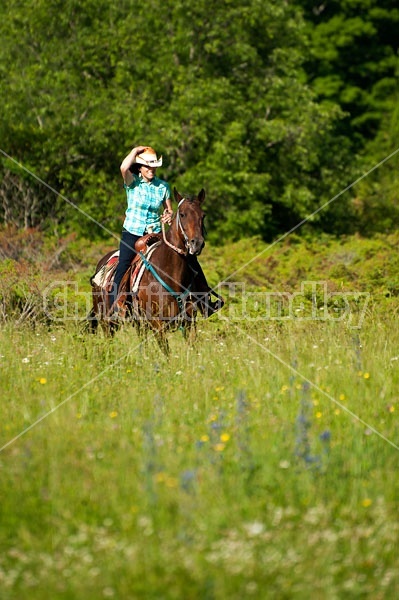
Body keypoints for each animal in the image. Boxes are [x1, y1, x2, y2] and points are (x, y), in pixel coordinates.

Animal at [89, 185, 214, 350]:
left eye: (203, 215)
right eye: (182, 214)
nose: (197, 243)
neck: (170, 273)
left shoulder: (188, 320)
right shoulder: (156, 323)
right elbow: (166, 350)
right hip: (106, 320)